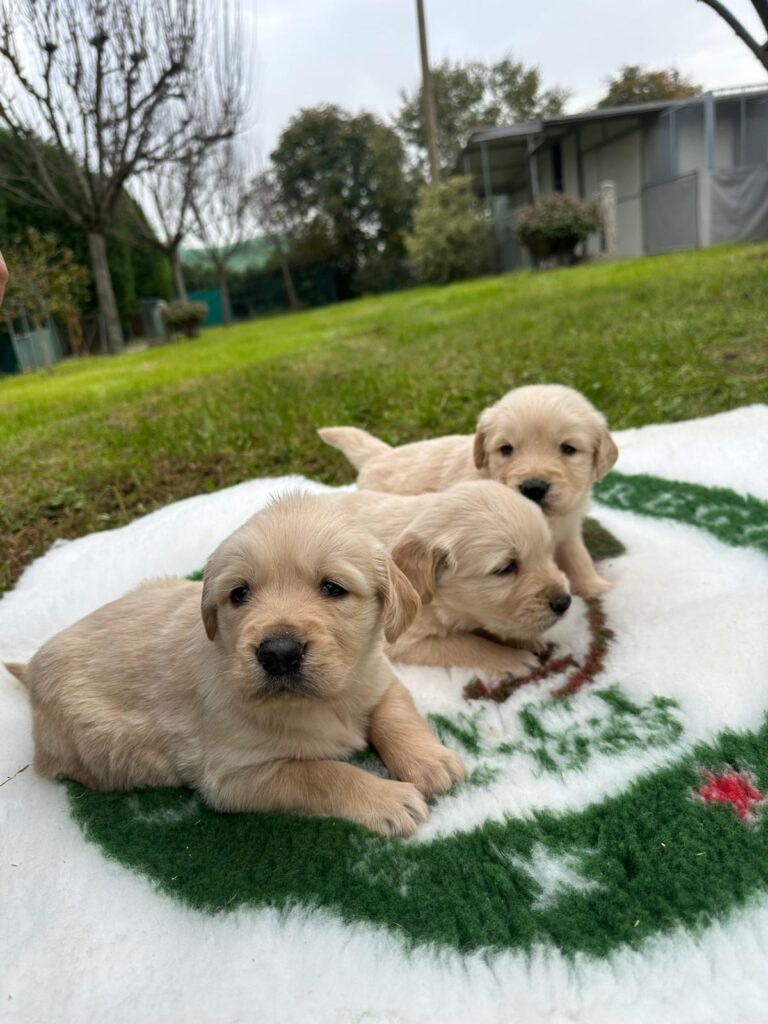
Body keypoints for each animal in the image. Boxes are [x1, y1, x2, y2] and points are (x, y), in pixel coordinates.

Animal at [6, 491, 466, 835]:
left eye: (333, 588)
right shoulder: (235, 776)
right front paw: (388, 798)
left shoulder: (377, 674)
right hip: (88, 742)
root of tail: (31, 667)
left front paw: (431, 762)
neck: (325, 701)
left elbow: (394, 713)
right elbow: (319, 773)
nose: (278, 652)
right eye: (239, 594)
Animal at [319, 385, 618, 598]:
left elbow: (578, 556)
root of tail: (378, 455)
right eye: (506, 449)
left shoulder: (568, 528)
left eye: (568, 448)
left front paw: (596, 587)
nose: (533, 487)